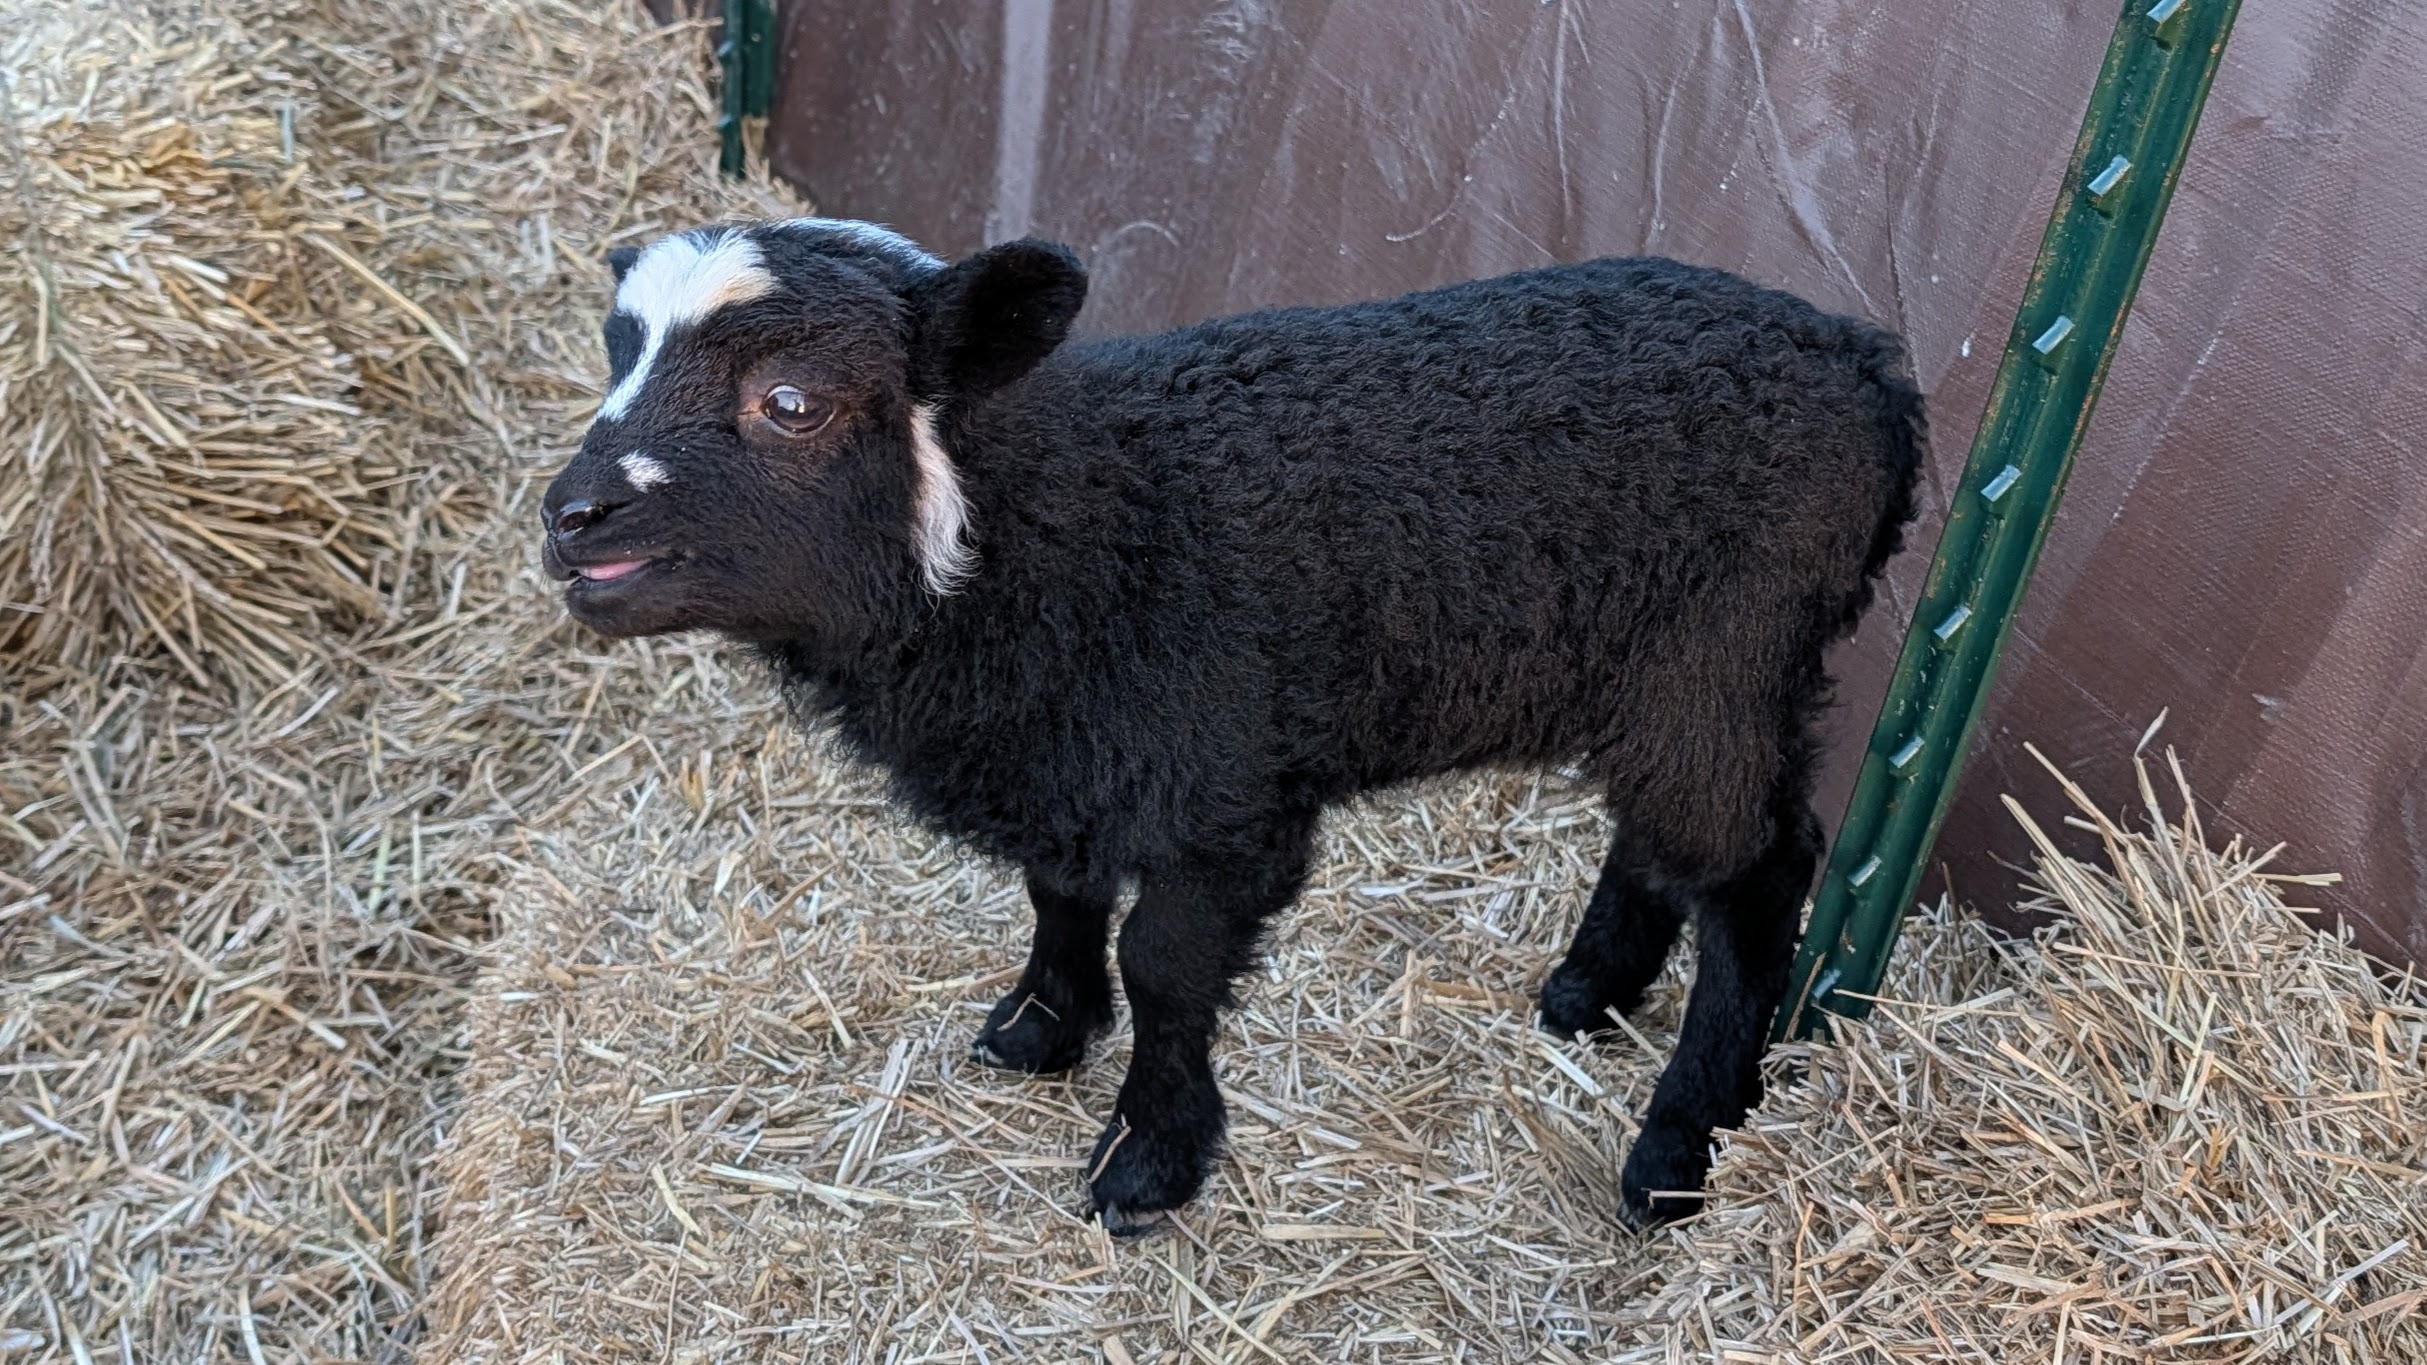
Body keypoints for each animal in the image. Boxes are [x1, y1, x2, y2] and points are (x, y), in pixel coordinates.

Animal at [539, 217, 1926, 1232]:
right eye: (618, 361)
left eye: (792, 402)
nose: (568, 517)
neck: (1072, 530)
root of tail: (1866, 364)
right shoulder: (1073, 747)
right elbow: (1058, 891)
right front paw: (1042, 1029)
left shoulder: (1223, 789)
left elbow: (1164, 966)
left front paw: (1148, 1163)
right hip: (1658, 672)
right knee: (1667, 834)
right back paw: (1589, 989)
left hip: (1725, 650)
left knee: (1759, 872)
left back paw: (1679, 1146)